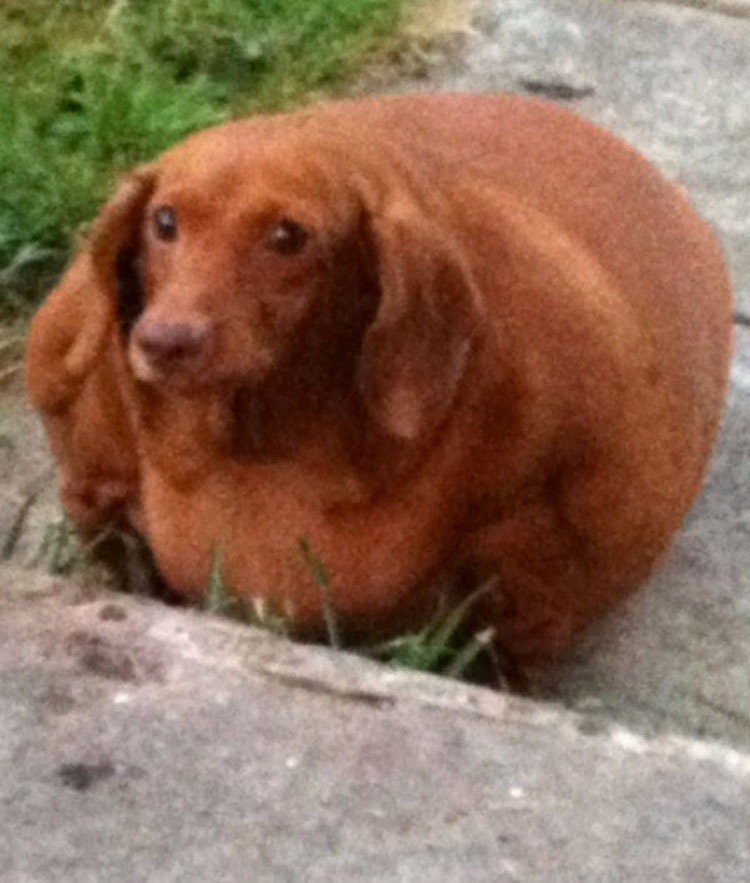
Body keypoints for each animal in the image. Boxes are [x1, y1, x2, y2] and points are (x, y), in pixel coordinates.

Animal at [44, 95, 736, 664]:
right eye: (164, 221)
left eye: (288, 236)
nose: (163, 342)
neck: (253, 446)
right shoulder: (95, 496)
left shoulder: (533, 583)